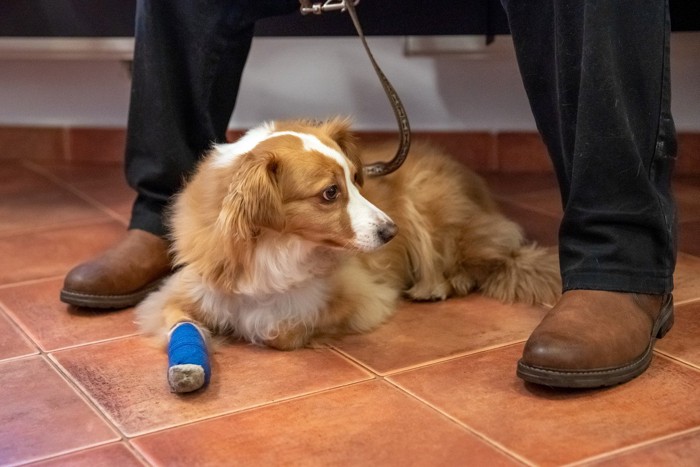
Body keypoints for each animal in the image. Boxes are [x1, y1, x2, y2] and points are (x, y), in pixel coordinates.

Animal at [138, 119, 564, 356]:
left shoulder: (364, 297)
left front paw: (261, 328)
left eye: (357, 181)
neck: (274, 247)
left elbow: (282, 330)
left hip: (425, 205)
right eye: (330, 193)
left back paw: (438, 284)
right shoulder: (176, 295)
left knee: (480, 257)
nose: (391, 232)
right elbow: (181, 324)